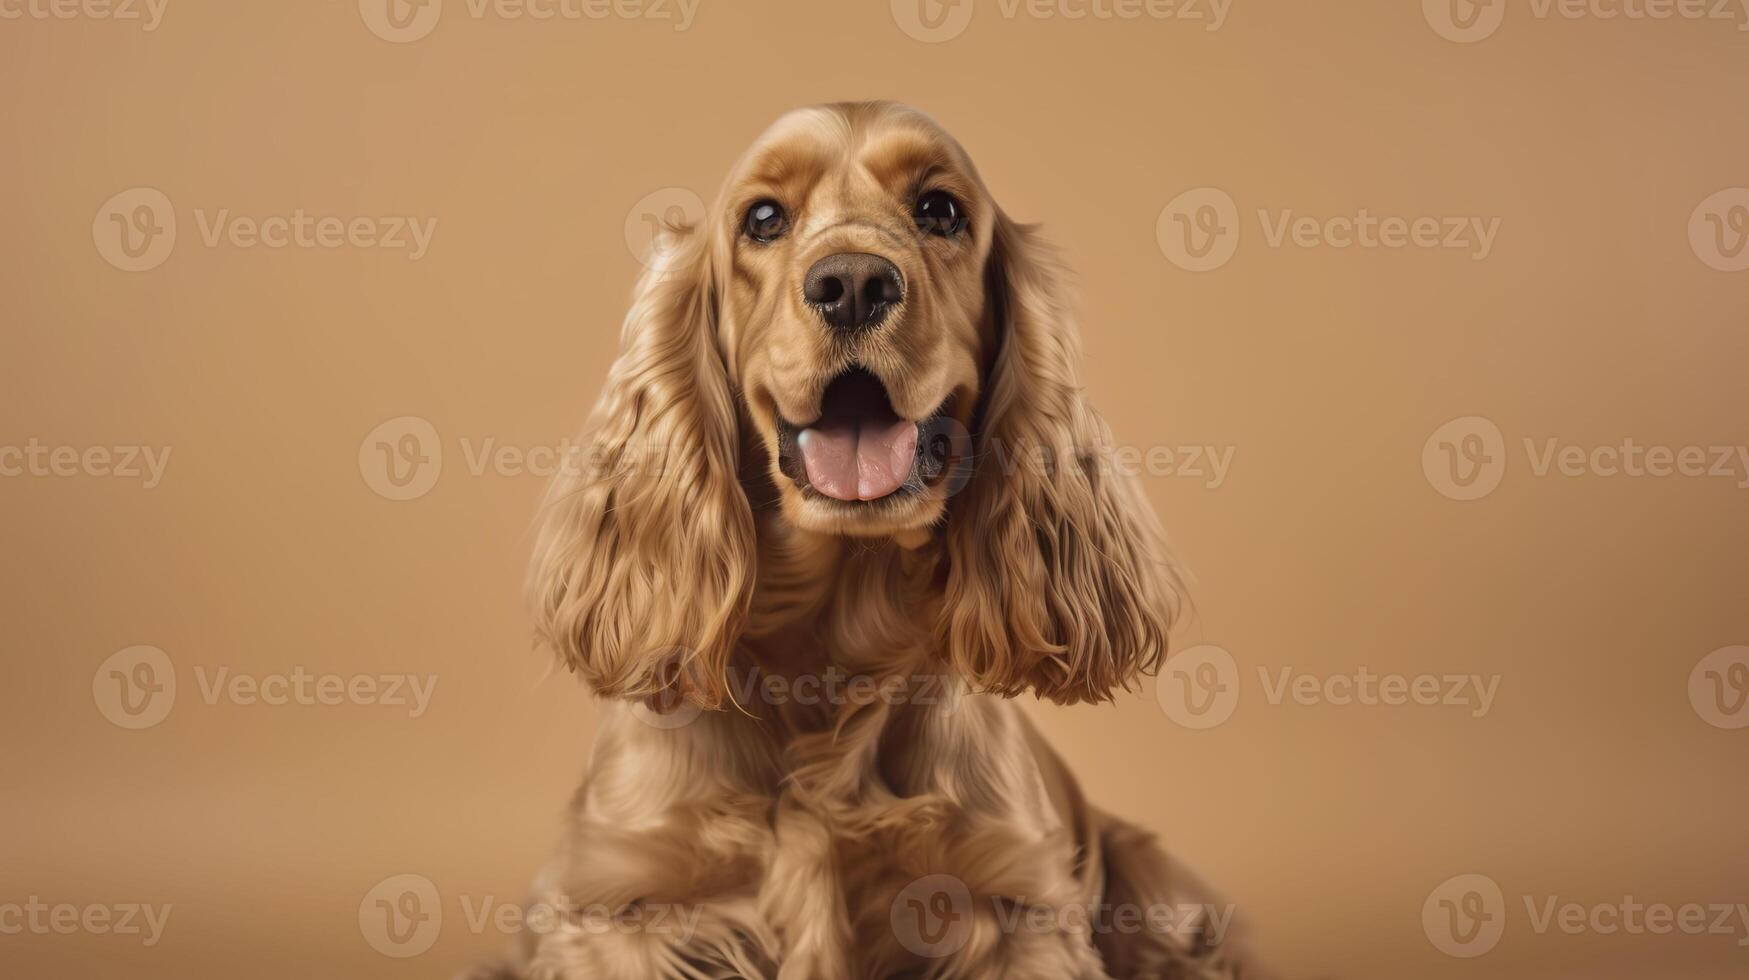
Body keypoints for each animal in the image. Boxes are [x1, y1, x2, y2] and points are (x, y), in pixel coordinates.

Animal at [493, 101, 1259, 980]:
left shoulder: (1017, 911)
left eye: (940, 210)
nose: (853, 284)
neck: (833, 635)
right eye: (763, 217)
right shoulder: (614, 906)